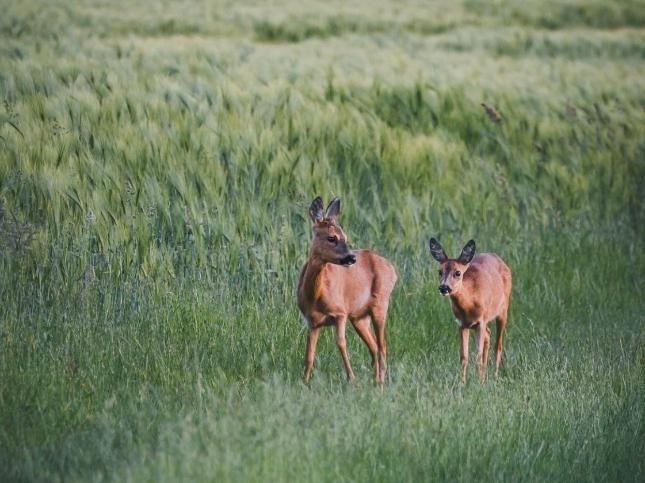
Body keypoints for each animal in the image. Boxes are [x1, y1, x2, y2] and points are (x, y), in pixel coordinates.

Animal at [298, 197, 398, 386]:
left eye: (345, 237)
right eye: (332, 238)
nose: (351, 257)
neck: (315, 296)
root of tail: (392, 268)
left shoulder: (340, 312)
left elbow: (341, 343)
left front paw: (351, 377)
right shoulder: (312, 322)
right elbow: (309, 354)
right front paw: (304, 382)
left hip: (380, 305)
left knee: (382, 347)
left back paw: (381, 383)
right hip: (359, 317)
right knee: (374, 347)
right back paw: (376, 381)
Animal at [428, 237, 512, 382]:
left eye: (458, 273)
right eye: (439, 271)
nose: (444, 288)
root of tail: (498, 258)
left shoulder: (481, 321)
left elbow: (477, 356)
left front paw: (478, 382)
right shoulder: (462, 324)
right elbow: (463, 357)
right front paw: (463, 382)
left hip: (503, 310)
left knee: (498, 345)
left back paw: (494, 376)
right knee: (488, 335)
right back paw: (484, 375)